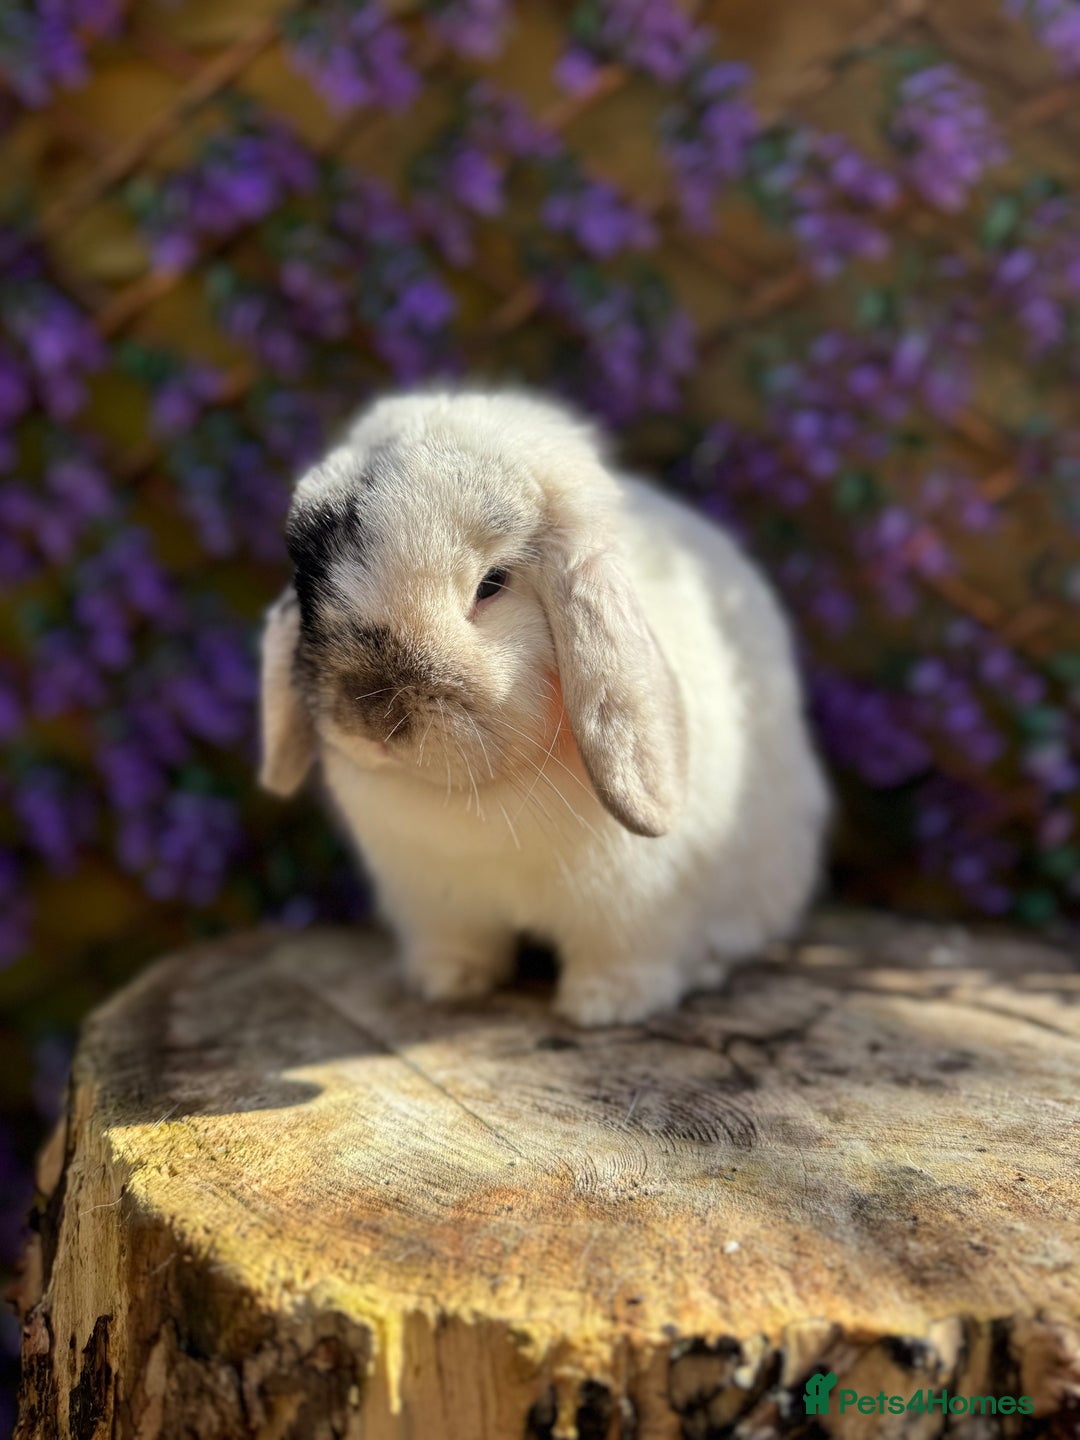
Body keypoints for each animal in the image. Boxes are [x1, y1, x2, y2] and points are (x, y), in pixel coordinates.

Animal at [258, 388, 829, 1027]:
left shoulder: (635, 914)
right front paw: (446, 984)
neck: (481, 795)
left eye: (492, 584)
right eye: (309, 589)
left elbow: (625, 957)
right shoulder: (437, 905)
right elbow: (459, 944)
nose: (371, 716)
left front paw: (605, 1008)